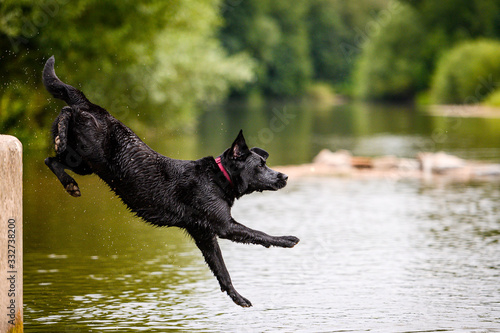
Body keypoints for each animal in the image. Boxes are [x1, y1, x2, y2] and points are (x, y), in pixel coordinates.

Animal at [42, 55, 296, 306]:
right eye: (260, 166)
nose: (284, 176)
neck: (217, 179)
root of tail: (89, 104)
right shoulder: (224, 226)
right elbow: (260, 234)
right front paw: (286, 239)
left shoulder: (204, 234)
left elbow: (223, 272)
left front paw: (237, 297)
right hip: (89, 148)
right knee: (64, 117)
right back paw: (62, 143)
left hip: (84, 164)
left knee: (50, 158)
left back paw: (68, 176)